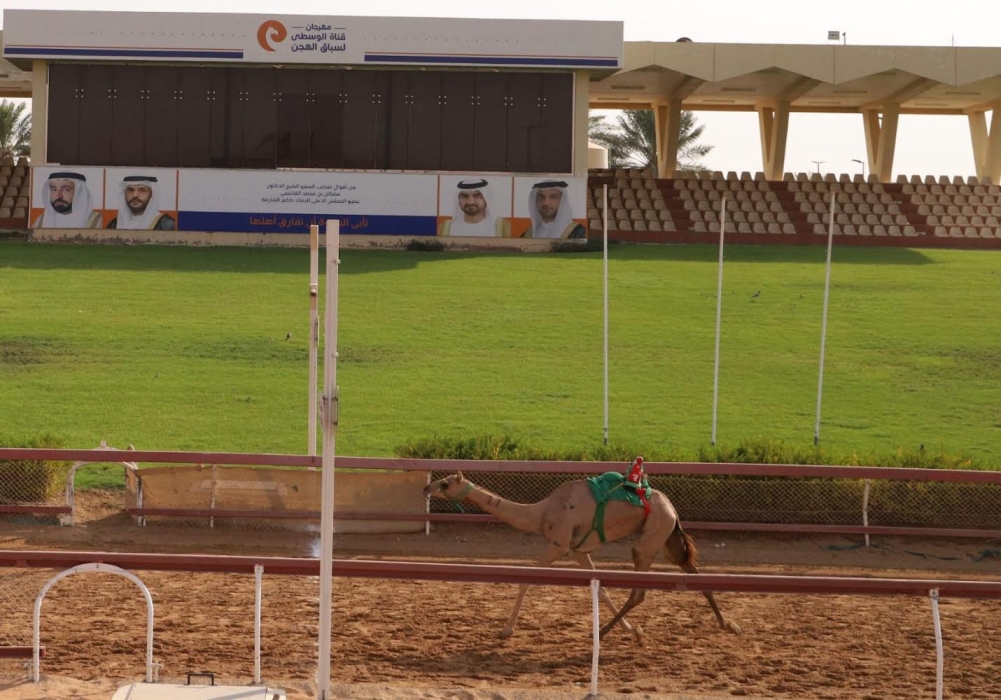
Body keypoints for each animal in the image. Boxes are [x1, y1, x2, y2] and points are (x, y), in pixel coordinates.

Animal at [422, 462, 744, 644]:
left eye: (446, 483)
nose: (426, 487)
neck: (540, 513)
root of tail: (673, 511)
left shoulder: (558, 544)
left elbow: (526, 579)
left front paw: (506, 630)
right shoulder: (577, 551)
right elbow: (602, 590)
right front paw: (633, 630)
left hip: (650, 538)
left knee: (639, 591)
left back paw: (599, 633)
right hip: (667, 538)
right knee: (695, 575)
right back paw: (728, 625)